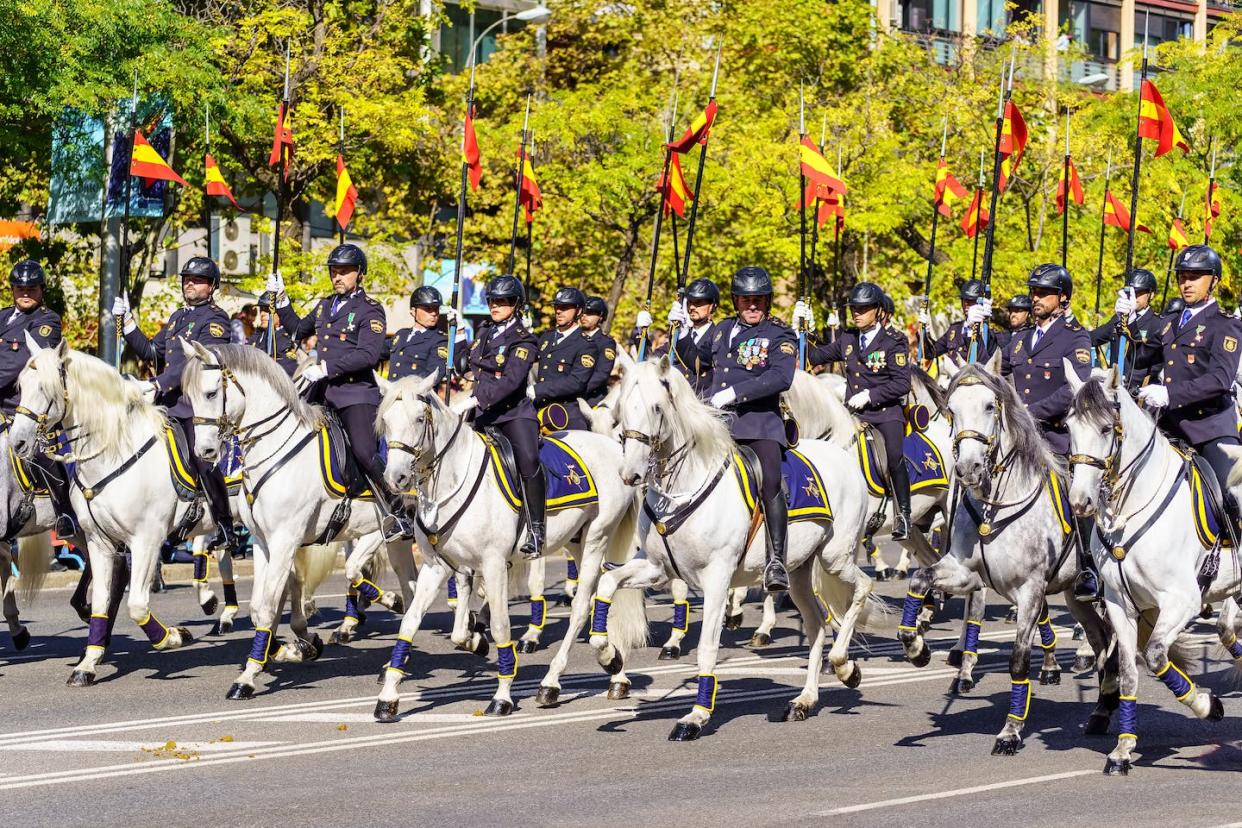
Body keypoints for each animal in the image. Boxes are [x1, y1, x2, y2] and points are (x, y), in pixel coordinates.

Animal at [372, 374, 645, 720]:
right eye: (386, 421)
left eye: (420, 419)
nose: (395, 478)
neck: (452, 481)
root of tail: (613, 447)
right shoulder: (437, 567)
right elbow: (414, 623)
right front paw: (389, 697)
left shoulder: (493, 565)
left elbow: (501, 626)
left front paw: (502, 695)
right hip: (577, 541)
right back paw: (615, 670)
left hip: (598, 538)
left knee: (582, 607)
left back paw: (554, 681)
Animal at [588, 357, 884, 739]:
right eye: (622, 409)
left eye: (656, 407)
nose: (629, 474)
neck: (683, 486)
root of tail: (842, 456)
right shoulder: (655, 567)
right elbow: (607, 584)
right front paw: (609, 656)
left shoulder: (717, 577)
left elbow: (707, 646)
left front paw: (695, 716)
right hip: (799, 571)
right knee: (817, 625)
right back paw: (804, 700)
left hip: (835, 557)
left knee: (863, 586)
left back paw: (844, 666)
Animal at [904, 357, 1117, 759]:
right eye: (951, 409)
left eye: (990, 406)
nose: (968, 469)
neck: (996, 507)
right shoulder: (964, 572)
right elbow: (919, 579)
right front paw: (916, 648)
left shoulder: (1030, 590)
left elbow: (1019, 660)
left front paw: (1010, 732)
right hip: (1075, 595)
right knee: (1102, 638)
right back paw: (1102, 709)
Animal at [1063, 364, 1237, 779]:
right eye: (1068, 425)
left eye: (1106, 428)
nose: (1080, 502)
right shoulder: (1120, 604)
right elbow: (1129, 669)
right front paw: (1123, 750)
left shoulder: (1182, 601)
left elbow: (1157, 656)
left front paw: (1208, 705)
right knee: (1227, 629)